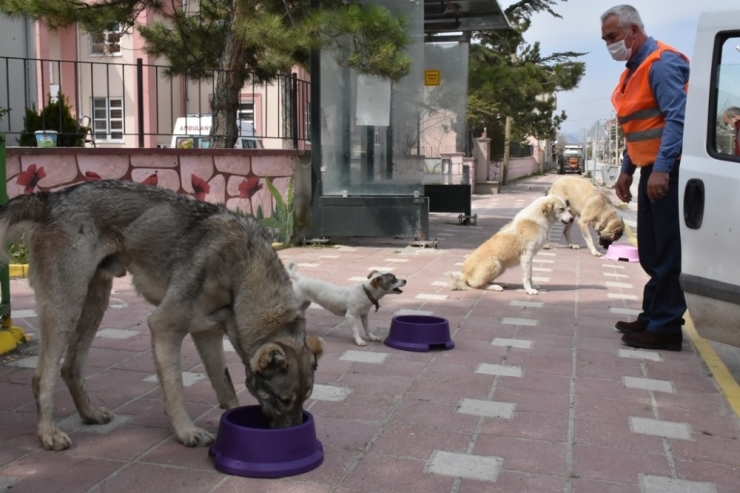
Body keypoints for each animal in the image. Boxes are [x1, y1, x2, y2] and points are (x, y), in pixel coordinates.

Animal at [0, 180, 324, 450]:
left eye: (305, 398)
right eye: (283, 400)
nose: (292, 435)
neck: (243, 271)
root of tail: (50, 198)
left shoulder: (207, 334)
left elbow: (226, 387)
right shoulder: (164, 327)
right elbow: (175, 388)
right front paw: (186, 432)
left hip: (95, 303)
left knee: (71, 368)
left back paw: (90, 414)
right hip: (67, 307)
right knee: (42, 376)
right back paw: (48, 434)